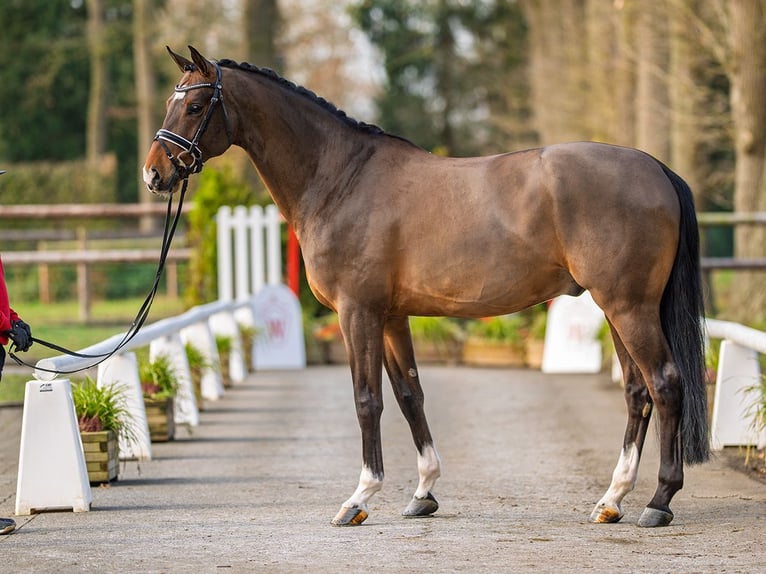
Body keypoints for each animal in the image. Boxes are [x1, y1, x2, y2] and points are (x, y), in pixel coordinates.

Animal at [143, 46, 709, 528]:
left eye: (195, 105)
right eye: (172, 100)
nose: (154, 174)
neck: (341, 179)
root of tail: (655, 167)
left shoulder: (357, 312)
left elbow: (367, 399)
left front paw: (359, 498)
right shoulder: (392, 315)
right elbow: (409, 394)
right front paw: (423, 494)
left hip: (629, 306)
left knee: (665, 383)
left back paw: (658, 502)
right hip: (617, 308)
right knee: (637, 392)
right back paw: (612, 500)